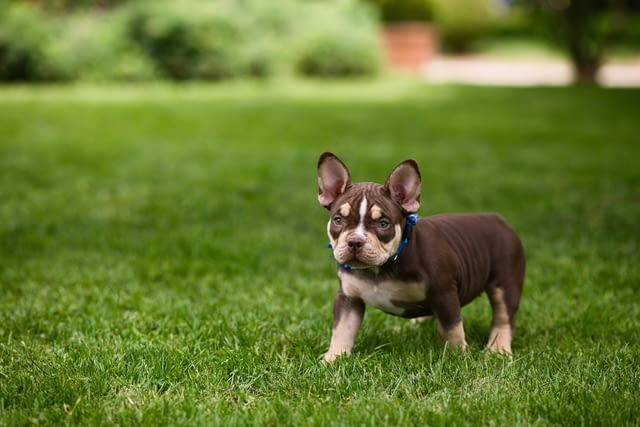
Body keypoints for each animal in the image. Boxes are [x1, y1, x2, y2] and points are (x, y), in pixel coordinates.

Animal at [316, 152, 524, 362]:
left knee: (504, 317)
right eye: (338, 220)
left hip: (505, 281)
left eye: (383, 224)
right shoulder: (348, 299)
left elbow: (453, 328)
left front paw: (458, 356)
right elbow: (342, 329)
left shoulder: (444, 294)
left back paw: (497, 350)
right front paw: (332, 359)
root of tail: (498, 218)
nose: (355, 241)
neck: (381, 268)